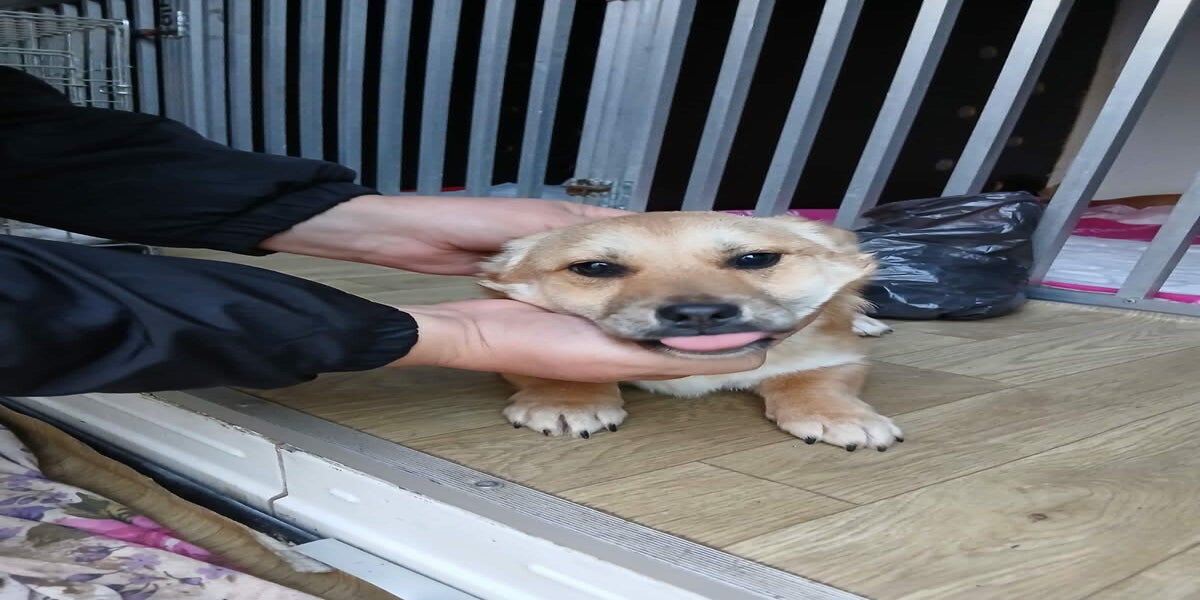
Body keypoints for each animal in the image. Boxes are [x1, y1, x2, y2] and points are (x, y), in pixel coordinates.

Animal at [478, 211, 902, 451]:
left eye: (755, 259)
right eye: (595, 268)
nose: (700, 313)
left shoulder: (834, 353)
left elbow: (813, 381)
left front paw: (842, 416)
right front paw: (568, 401)